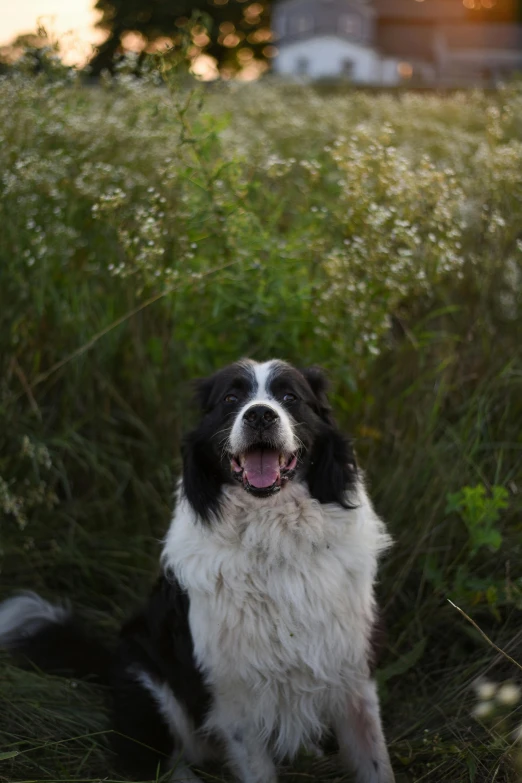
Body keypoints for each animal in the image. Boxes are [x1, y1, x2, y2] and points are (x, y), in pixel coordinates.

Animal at [0, 362, 390, 783]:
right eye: (231, 398)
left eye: (290, 397)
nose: (259, 415)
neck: (273, 538)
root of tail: (110, 663)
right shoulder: (234, 695)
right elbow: (255, 768)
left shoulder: (352, 669)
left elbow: (376, 759)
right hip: (149, 682)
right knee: (158, 760)